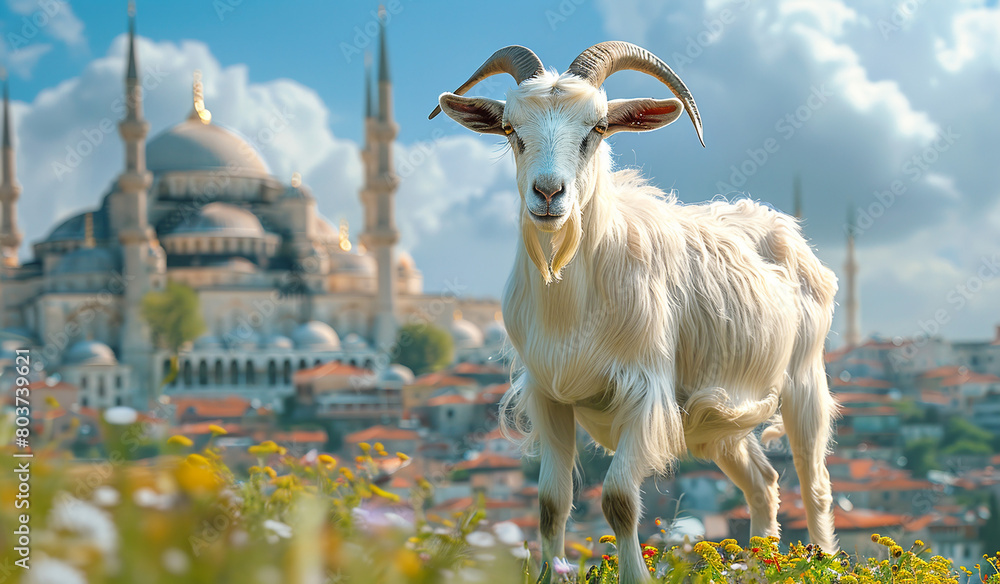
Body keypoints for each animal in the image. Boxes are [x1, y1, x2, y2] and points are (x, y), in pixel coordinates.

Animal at [431, 42, 839, 583]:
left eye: (598, 128)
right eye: (512, 131)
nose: (548, 194)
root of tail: (787, 229)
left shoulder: (645, 393)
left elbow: (620, 500)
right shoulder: (549, 396)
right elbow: (550, 503)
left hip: (804, 381)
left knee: (814, 484)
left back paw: (824, 561)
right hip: (715, 416)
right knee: (763, 482)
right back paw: (758, 566)